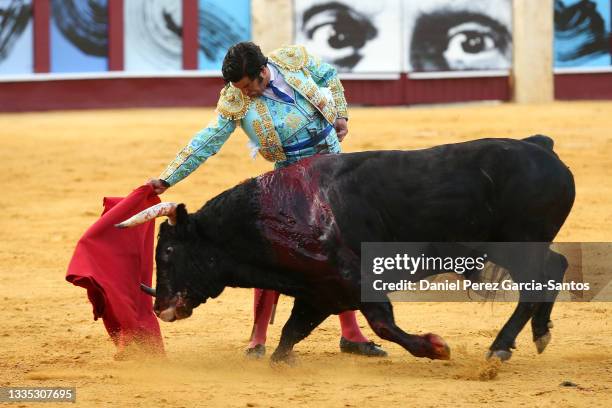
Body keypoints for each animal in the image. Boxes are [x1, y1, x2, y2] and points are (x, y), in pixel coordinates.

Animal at [133, 136, 572, 360]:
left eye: (167, 253)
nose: (162, 307)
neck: (269, 215)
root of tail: (542, 147)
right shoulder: (320, 291)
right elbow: (291, 332)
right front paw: (278, 359)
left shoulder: (355, 281)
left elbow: (382, 323)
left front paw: (435, 347)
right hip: (519, 247)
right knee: (556, 267)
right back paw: (539, 335)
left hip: (519, 245)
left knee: (536, 282)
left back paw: (500, 348)